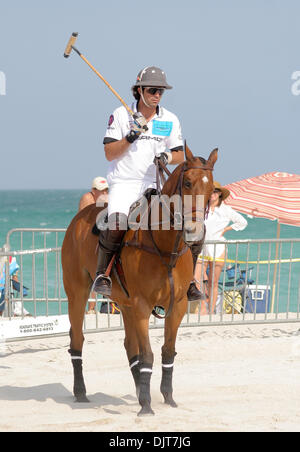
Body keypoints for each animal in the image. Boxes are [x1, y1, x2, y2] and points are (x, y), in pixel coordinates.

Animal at [61, 146, 218, 416]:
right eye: (188, 182)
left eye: (211, 188)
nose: (194, 231)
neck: (165, 245)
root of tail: (80, 216)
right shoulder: (143, 304)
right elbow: (147, 355)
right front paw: (146, 406)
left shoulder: (177, 306)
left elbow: (167, 352)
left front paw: (166, 397)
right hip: (78, 293)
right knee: (77, 339)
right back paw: (81, 392)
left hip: (125, 304)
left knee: (129, 346)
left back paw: (138, 391)